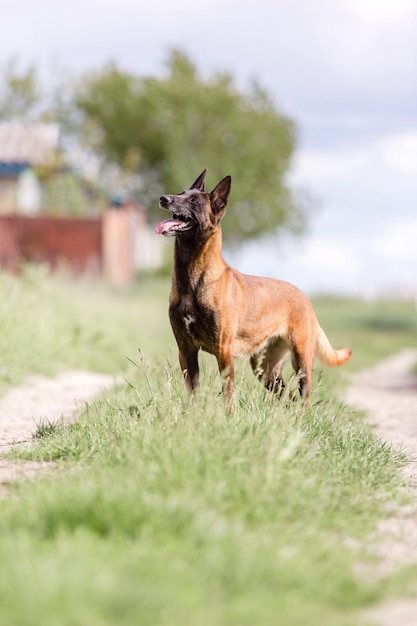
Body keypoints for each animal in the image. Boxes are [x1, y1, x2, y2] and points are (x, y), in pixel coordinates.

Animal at [154, 169, 350, 404]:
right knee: (288, 397)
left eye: (193, 201)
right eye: (179, 193)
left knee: (303, 398)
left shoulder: (223, 351)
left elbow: (228, 395)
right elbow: (193, 394)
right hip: (264, 370)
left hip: (301, 360)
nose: (163, 198)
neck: (193, 278)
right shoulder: (186, 350)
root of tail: (305, 297)